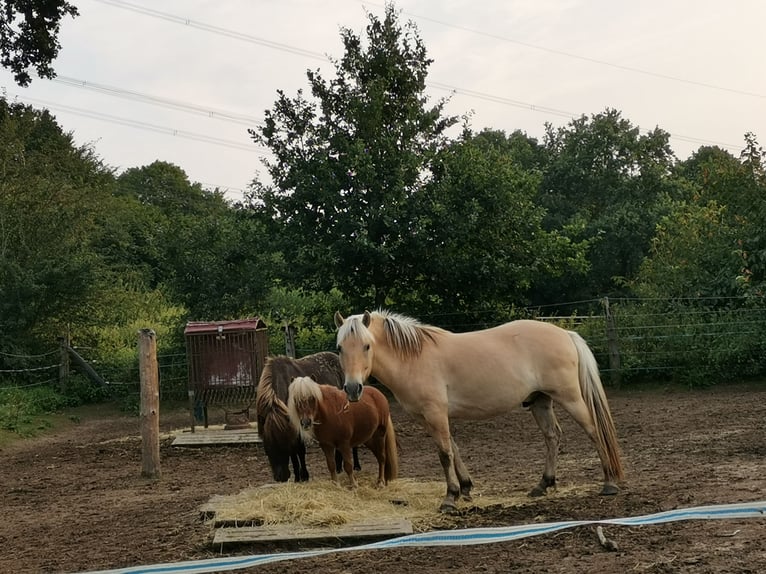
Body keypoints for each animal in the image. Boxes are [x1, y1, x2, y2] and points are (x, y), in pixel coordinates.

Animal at [254, 354, 358, 484]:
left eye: (283, 446)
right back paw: (339, 467)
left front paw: (304, 475)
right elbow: (294, 454)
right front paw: (297, 477)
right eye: (267, 448)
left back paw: (356, 466)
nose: (281, 477)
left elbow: (300, 451)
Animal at [336, 312, 624, 516]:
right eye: (340, 347)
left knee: (594, 431)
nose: (352, 388)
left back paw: (609, 483)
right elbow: (453, 449)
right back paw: (543, 485)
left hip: (570, 397)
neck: (413, 359)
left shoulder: (435, 413)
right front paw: (465, 489)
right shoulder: (429, 418)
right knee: (552, 437)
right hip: (540, 401)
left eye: (366, 346)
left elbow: (444, 454)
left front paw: (450, 498)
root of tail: (565, 333)